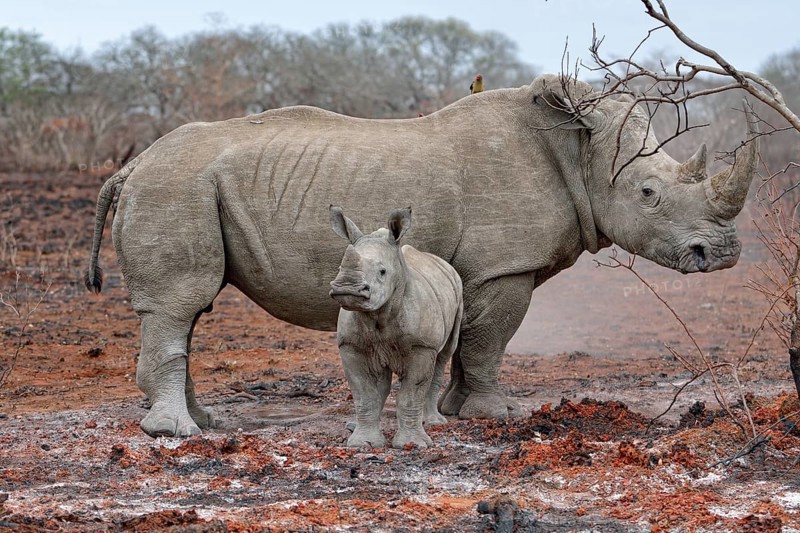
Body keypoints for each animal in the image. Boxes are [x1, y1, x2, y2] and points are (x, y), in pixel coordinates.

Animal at [329, 206, 463, 449]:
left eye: (382, 272)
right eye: (340, 267)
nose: (348, 288)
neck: (378, 315)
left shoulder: (421, 346)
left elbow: (411, 394)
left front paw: (413, 444)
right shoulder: (351, 345)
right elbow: (365, 394)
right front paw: (363, 443)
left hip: (458, 288)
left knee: (443, 355)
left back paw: (434, 423)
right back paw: (353, 426)